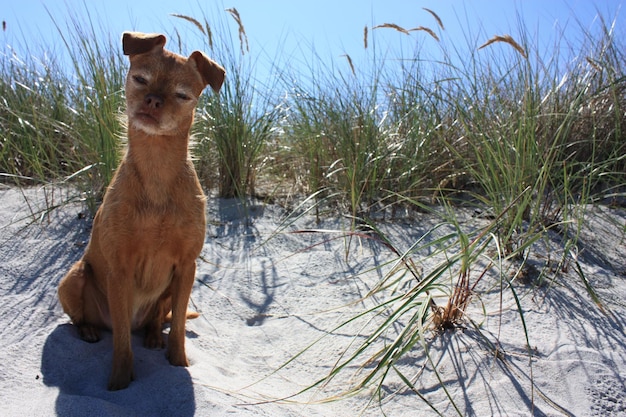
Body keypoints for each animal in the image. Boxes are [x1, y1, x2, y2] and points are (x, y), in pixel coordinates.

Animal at [56, 30, 224, 388]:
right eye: (140, 79)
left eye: (182, 95)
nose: (153, 100)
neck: (157, 165)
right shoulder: (119, 270)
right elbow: (121, 341)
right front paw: (119, 382)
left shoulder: (186, 267)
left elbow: (178, 328)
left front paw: (178, 363)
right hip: (73, 278)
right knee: (86, 320)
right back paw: (89, 330)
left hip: (171, 288)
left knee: (160, 317)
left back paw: (153, 335)